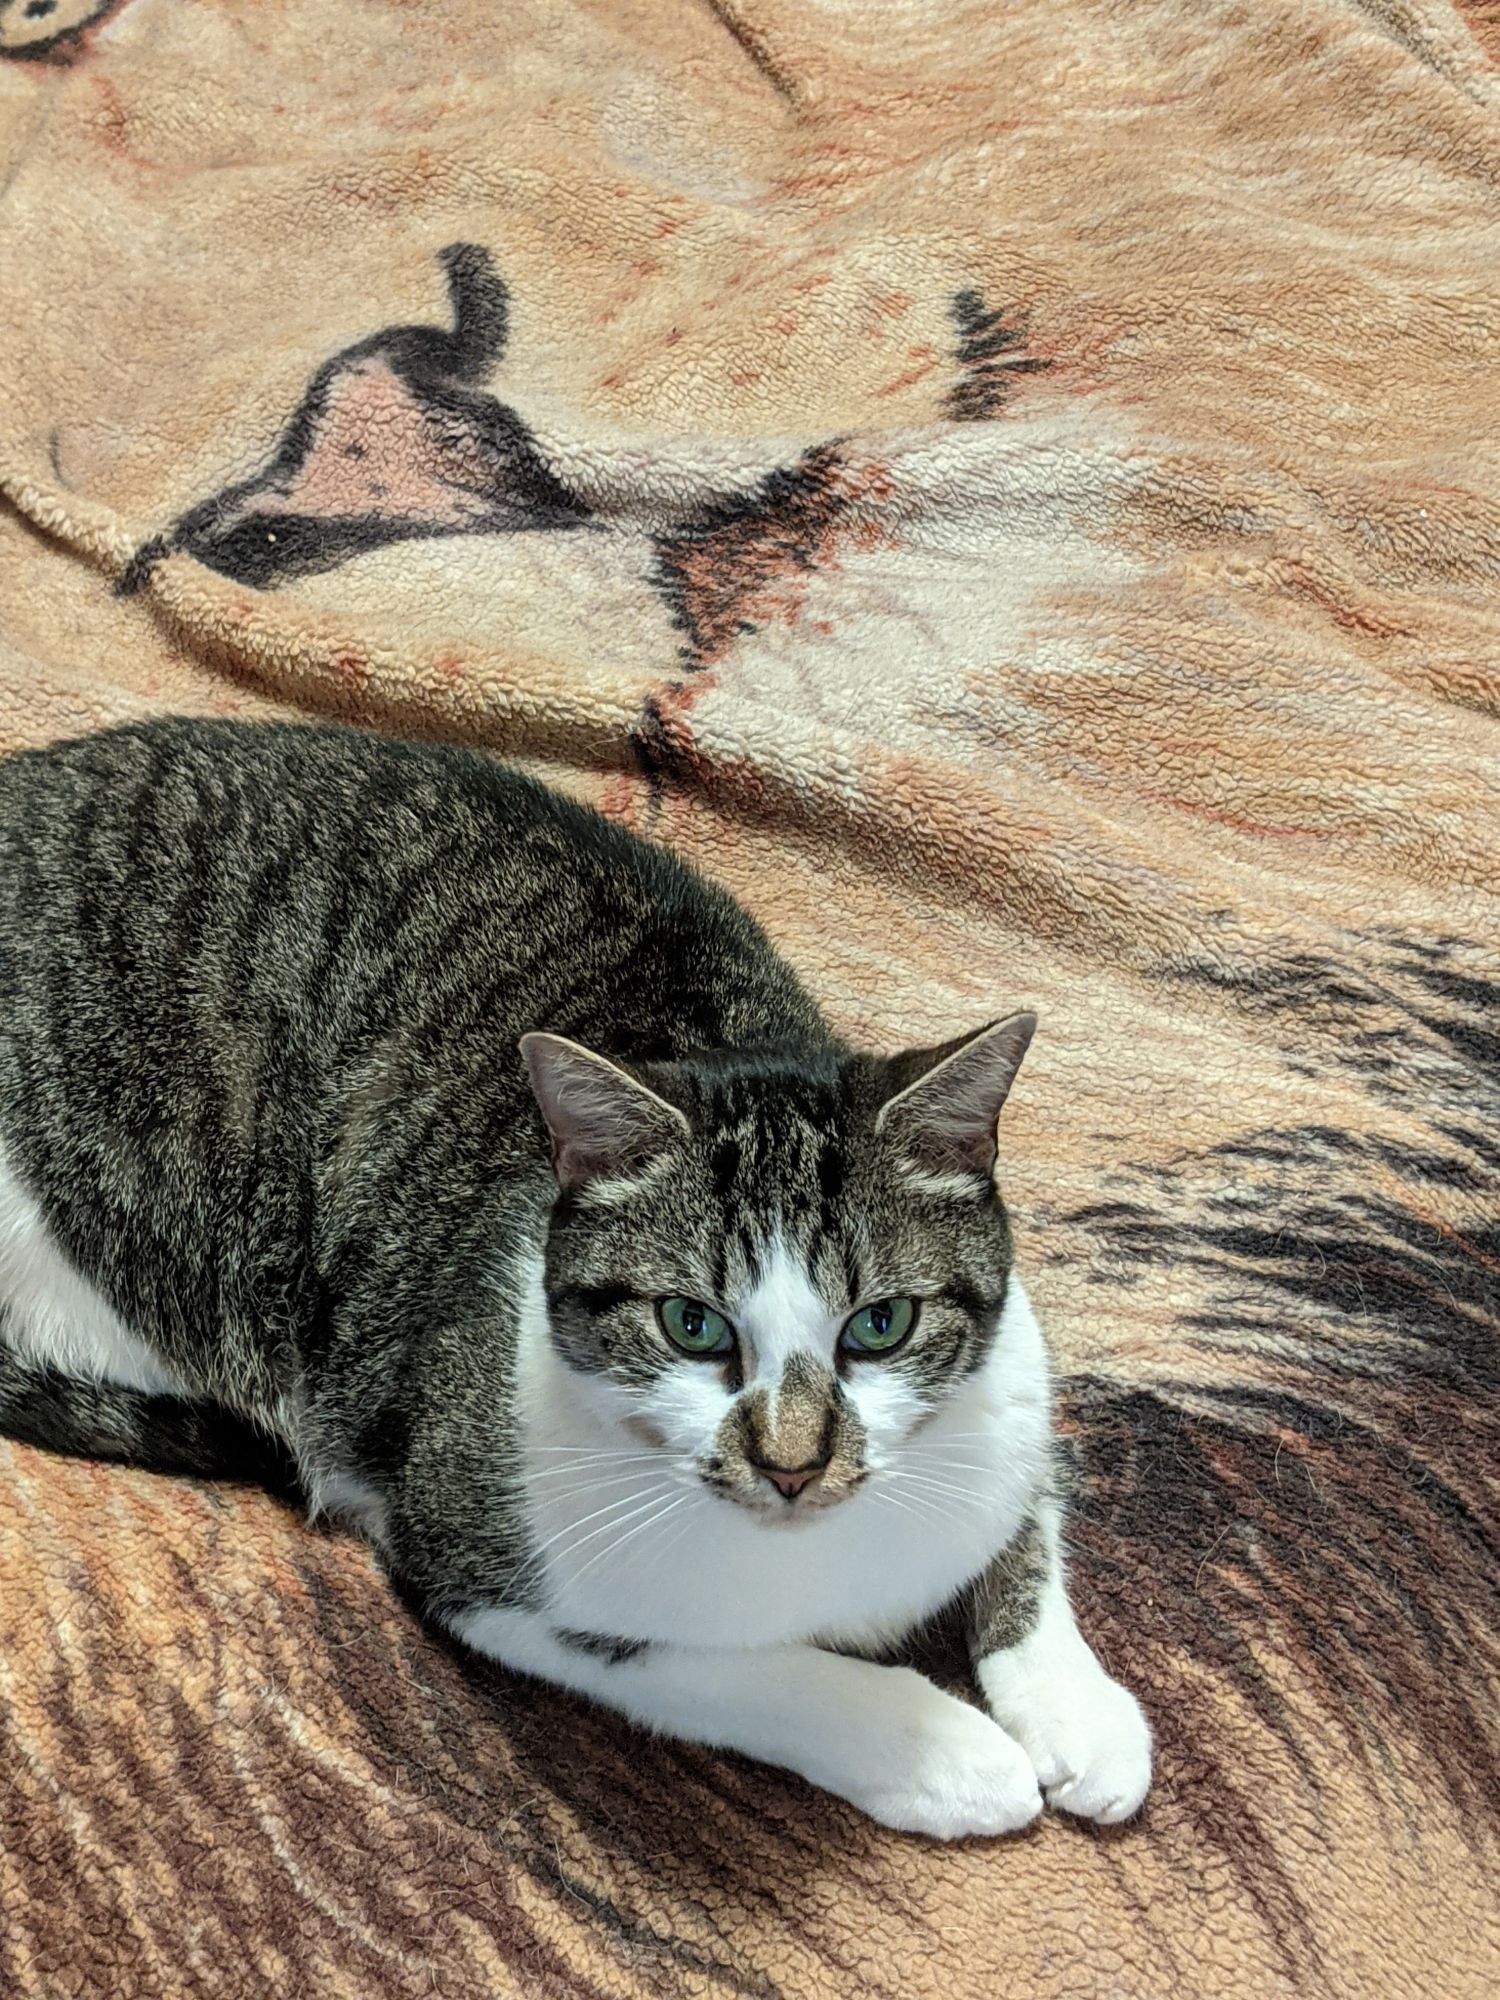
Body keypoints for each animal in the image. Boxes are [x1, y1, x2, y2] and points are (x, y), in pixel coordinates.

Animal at [0, 724, 1160, 1840]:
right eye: (693, 1324)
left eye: (880, 1324)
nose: (792, 1463)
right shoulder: (470, 1550)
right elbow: (726, 1667)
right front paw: (941, 1752)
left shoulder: (1013, 1386)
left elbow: (1028, 1516)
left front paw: (1077, 1707)